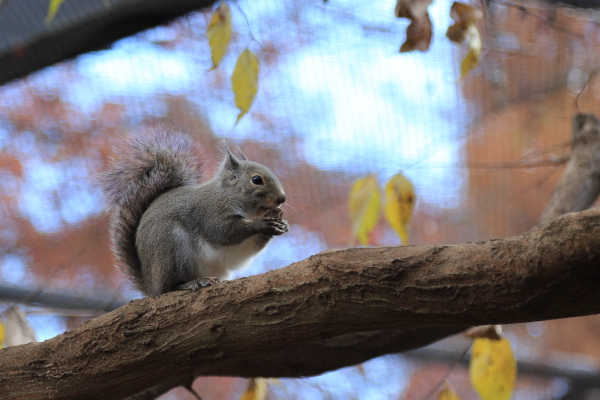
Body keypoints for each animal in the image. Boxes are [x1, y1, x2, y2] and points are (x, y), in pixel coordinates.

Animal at [102, 129, 290, 296]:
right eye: (257, 179)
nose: (282, 198)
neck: (228, 194)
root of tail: (150, 285)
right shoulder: (211, 211)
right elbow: (225, 232)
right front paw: (261, 224)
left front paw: (280, 225)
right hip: (170, 244)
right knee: (169, 287)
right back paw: (192, 283)